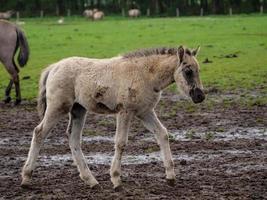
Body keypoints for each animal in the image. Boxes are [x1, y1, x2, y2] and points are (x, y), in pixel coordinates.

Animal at [21, 46, 205, 190]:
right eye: (188, 71)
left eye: (199, 70)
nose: (200, 96)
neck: (145, 74)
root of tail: (53, 67)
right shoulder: (125, 112)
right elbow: (121, 143)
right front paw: (116, 180)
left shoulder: (145, 112)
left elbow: (162, 134)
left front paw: (171, 177)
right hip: (58, 107)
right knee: (39, 132)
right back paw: (26, 178)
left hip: (78, 110)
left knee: (73, 139)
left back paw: (91, 181)